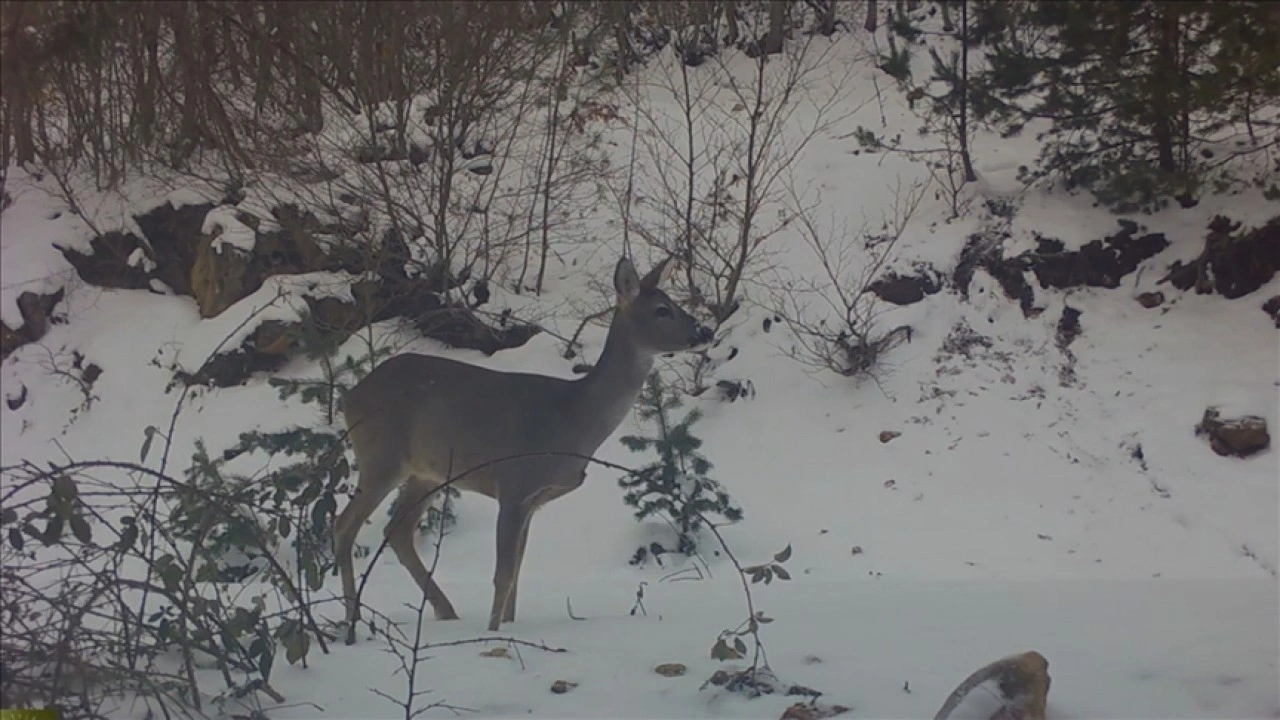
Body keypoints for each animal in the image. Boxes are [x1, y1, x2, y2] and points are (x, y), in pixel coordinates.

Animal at [332, 253, 711, 638]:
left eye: (675, 303)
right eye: (662, 310)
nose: (704, 332)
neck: (574, 418)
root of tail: (350, 396)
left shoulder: (534, 500)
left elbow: (516, 573)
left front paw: (510, 626)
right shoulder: (513, 483)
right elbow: (502, 575)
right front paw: (492, 632)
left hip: (427, 472)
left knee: (397, 530)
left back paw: (444, 611)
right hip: (381, 454)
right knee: (344, 525)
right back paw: (352, 619)